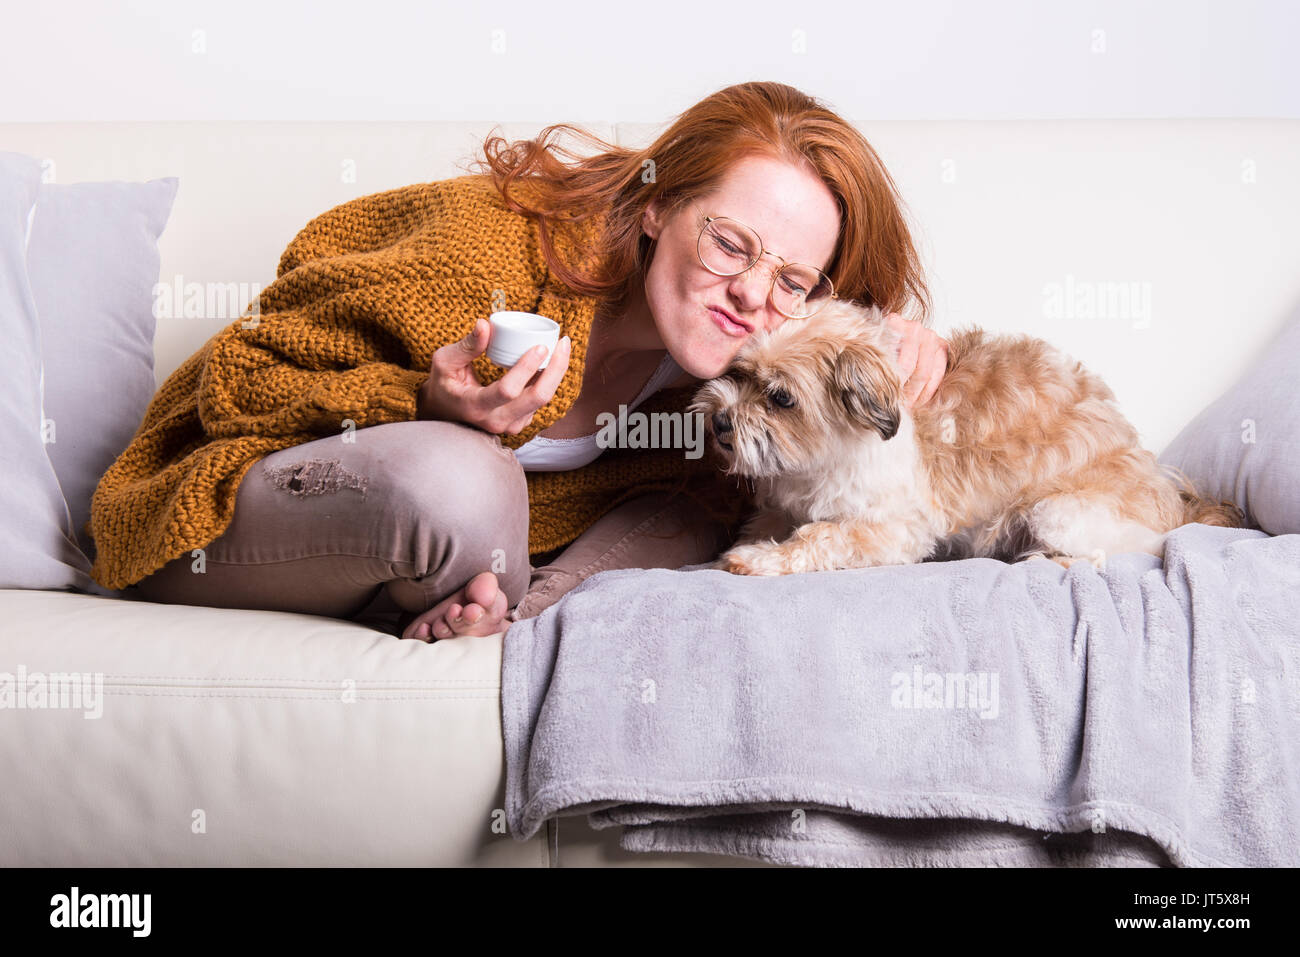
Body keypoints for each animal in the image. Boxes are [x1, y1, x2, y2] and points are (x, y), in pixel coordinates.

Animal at [691, 300, 1237, 574]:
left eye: (781, 398)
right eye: (739, 374)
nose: (720, 421)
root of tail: (1174, 502)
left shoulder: (893, 528)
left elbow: (819, 536)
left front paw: (758, 559)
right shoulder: (787, 502)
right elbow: (771, 519)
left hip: (1059, 511)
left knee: (1120, 554)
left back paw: (1048, 559)